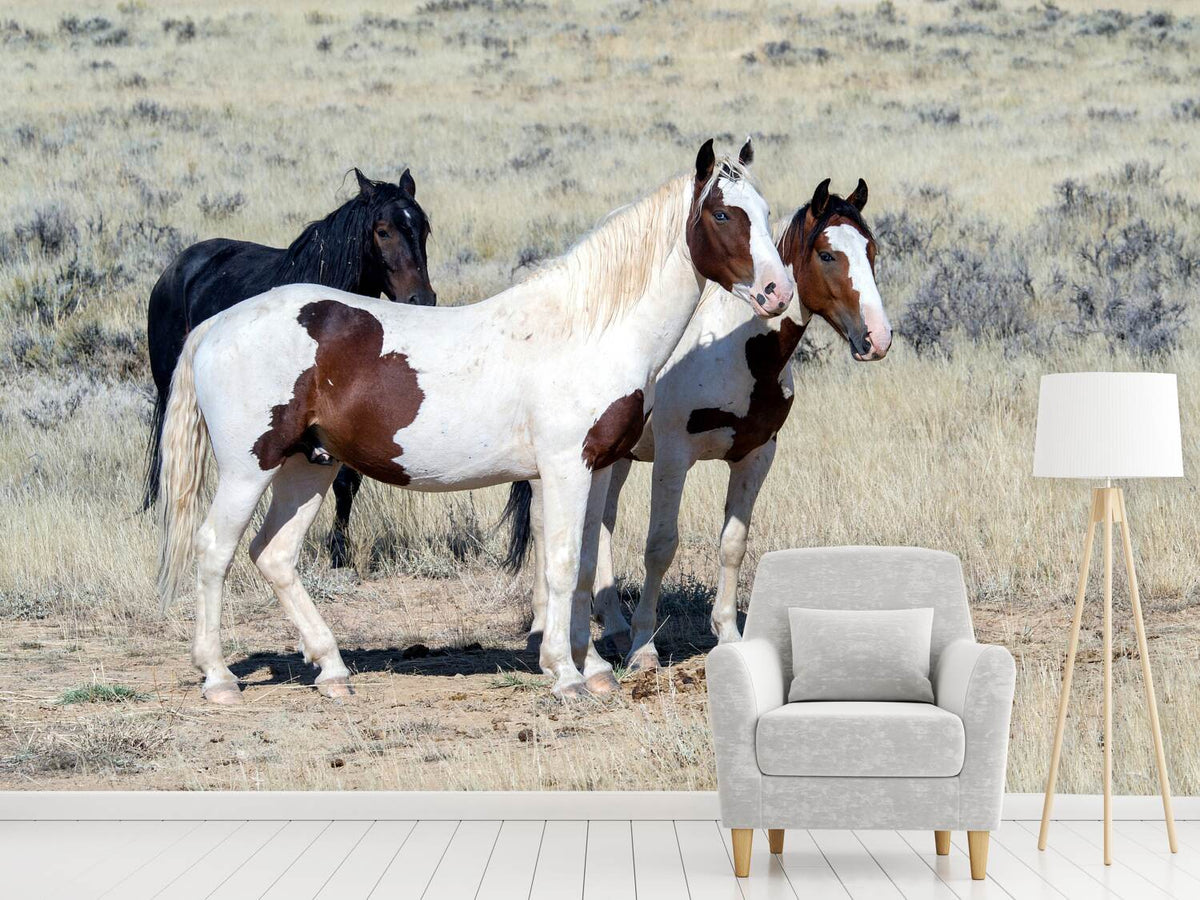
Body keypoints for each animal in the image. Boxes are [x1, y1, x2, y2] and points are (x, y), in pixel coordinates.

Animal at [143, 168, 436, 567]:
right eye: (383, 230)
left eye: (424, 228)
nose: (421, 299)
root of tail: (177, 267)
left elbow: (348, 482)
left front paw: (339, 551)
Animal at [508, 178, 890, 669]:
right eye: (827, 255)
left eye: (871, 249)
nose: (878, 338)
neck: (737, 352)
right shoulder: (674, 457)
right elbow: (660, 546)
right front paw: (644, 645)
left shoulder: (756, 454)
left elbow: (733, 544)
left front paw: (727, 634)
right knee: (543, 525)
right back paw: (545, 629)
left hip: (615, 458)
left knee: (602, 524)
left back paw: (612, 625)